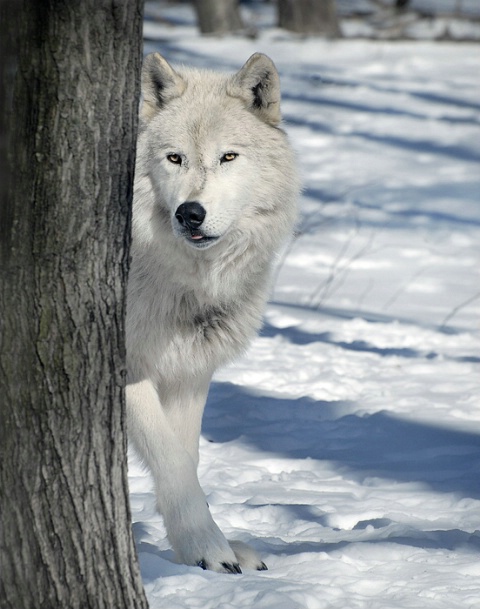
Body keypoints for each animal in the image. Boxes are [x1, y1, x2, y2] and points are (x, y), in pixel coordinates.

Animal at [126, 51, 300, 568]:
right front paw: (207, 548)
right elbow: (171, 460)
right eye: (175, 158)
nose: (190, 213)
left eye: (228, 157)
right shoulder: (128, 370)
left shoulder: (188, 373)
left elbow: (189, 460)